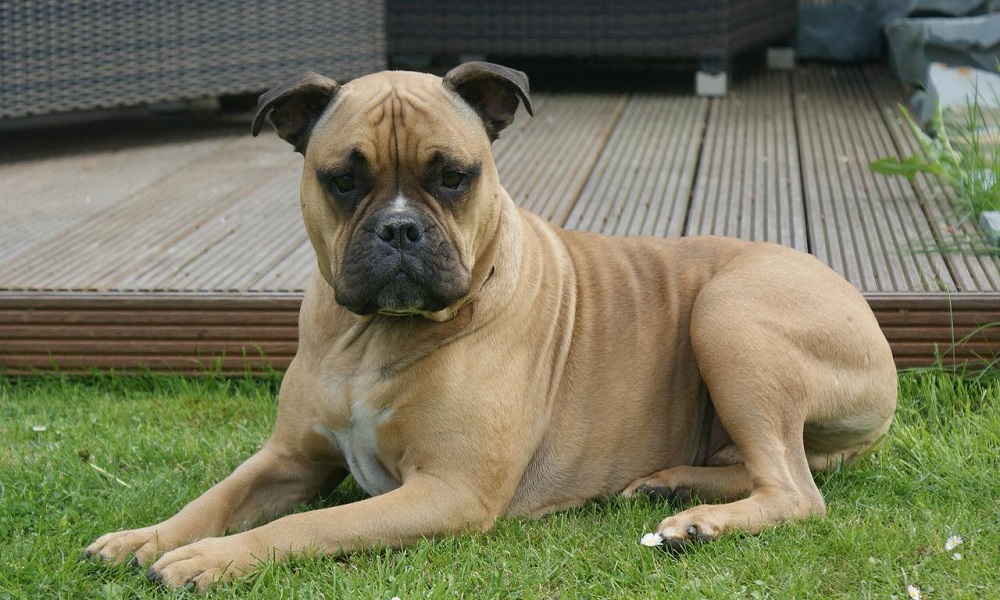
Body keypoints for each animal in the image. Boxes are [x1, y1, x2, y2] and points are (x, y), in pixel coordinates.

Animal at [84, 64, 900, 592]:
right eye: (342, 179)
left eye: (453, 176)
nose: (400, 229)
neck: (374, 337)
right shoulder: (287, 459)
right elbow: (213, 499)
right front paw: (144, 538)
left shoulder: (447, 491)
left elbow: (307, 527)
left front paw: (213, 559)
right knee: (771, 466)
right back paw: (669, 486)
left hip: (726, 314)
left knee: (795, 490)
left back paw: (698, 522)